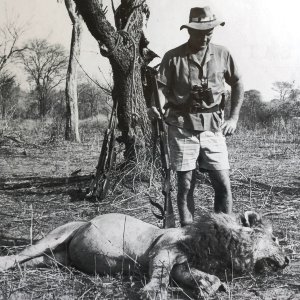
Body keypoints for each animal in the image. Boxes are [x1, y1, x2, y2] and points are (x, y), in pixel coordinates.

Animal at [0, 212, 288, 298]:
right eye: (275, 239)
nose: (286, 261)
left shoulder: (183, 264)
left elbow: (198, 276)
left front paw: (209, 287)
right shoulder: (163, 250)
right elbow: (160, 276)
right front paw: (152, 292)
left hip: (54, 259)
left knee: (31, 261)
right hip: (57, 235)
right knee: (16, 256)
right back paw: (3, 264)